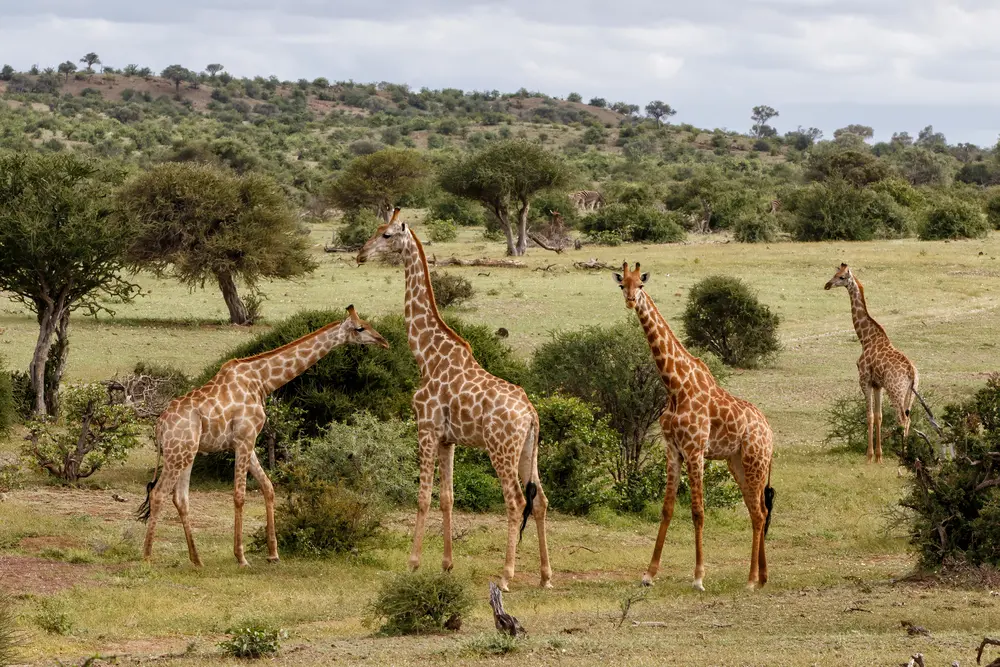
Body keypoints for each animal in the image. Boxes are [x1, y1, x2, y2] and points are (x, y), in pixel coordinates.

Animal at [137, 305, 389, 566]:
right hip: (177, 453)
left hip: (187, 453)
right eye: (360, 328)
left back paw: (197, 560)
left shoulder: (246, 441)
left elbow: (268, 487)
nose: (384, 341)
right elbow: (239, 495)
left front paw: (273, 553)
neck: (262, 381)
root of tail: (160, 425)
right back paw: (146, 556)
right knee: (158, 494)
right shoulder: (244, 439)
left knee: (180, 498)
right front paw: (241, 557)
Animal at [357, 207, 551, 591]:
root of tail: (531, 413)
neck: (426, 355)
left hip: (500, 448)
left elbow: (422, 497)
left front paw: (413, 563)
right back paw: (545, 576)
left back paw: (506, 575)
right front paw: (447, 565)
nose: (360, 254)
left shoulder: (426, 428)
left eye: (386, 235)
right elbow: (447, 498)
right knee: (540, 500)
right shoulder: (448, 439)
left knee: (515, 501)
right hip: (528, 450)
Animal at [614, 262, 775, 590]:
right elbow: (666, 509)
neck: (675, 385)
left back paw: (751, 579)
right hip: (737, 463)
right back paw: (761, 576)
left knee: (758, 512)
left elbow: (698, 511)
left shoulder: (696, 450)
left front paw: (699, 576)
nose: (631, 301)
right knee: (759, 510)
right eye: (622, 283)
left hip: (755, 461)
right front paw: (649, 574)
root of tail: (770, 433)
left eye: (641, 285)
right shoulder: (673, 450)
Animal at [824, 263, 918, 464]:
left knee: (902, 419)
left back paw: (904, 457)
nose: (827, 285)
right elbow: (879, 416)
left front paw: (868, 456)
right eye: (835, 273)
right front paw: (878, 457)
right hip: (911, 393)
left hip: (895, 390)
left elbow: (869, 416)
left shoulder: (865, 380)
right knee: (908, 419)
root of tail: (912, 372)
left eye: (841, 277)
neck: (865, 338)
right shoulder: (877, 385)